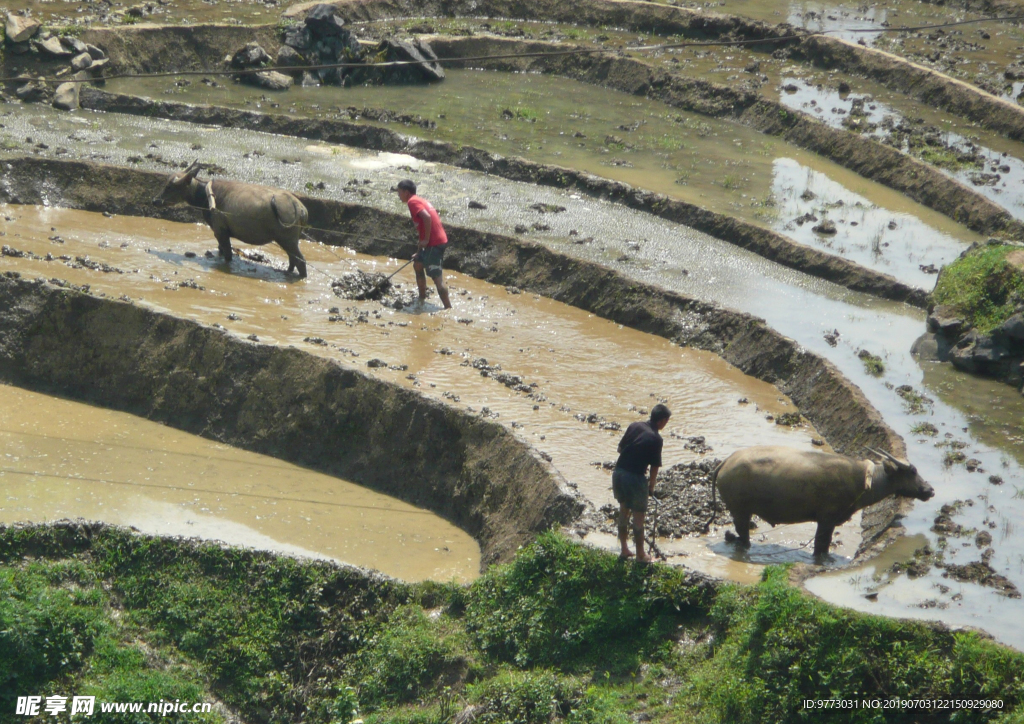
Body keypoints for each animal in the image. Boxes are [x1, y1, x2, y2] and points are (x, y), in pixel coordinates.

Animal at [149, 161, 305, 278]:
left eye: (169, 187)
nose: (155, 201)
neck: (206, 195)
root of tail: (299, 207)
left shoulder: (220, 231)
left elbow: (228, 255)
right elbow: (221, 250)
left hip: (288, 240)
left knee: (301, 262)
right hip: (289, 242)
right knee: (293, 260)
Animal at [708, 446, 933, 561]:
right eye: (912, 471)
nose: (929, 490)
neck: (863, 480)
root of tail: (725, 463)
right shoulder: (826, 520)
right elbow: (821, 545)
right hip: (740, 511)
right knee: (743, 535)